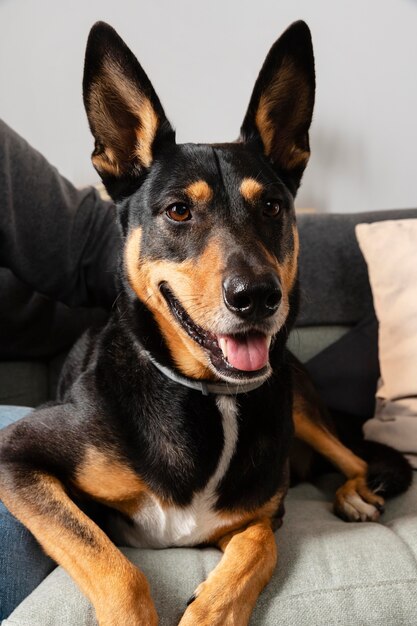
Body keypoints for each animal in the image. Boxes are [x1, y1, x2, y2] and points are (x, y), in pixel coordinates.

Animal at [0, 19, 410, 624]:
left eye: (271, 208)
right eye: (178, 211)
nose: (257, 297)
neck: (210, 397)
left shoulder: (261, 516)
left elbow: (257, 545)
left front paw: (211, 609)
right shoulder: (17, 455)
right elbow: (117, 569)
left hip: (297, 404)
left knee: (354, 458)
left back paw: (354, 493)